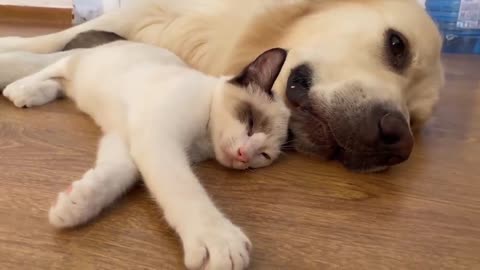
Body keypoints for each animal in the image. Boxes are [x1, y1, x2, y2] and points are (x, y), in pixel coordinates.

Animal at [0, 0, 444, 172]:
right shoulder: (153, 13)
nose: (397, 141)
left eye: (417, 119)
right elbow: (48, 44)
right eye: (397, 45)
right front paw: (12, 54)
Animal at [2, 41, 288, 270]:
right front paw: (218, 238)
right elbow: (186, 191)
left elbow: (116, 175)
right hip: (82, 64)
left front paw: (76, 204)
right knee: (52, 68)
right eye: (250, 122)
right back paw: (22, 88)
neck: (203, 142)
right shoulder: (156, 137)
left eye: (263, 156)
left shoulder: (125, 138)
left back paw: (36, 93)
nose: (244, 156)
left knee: (60, 83)